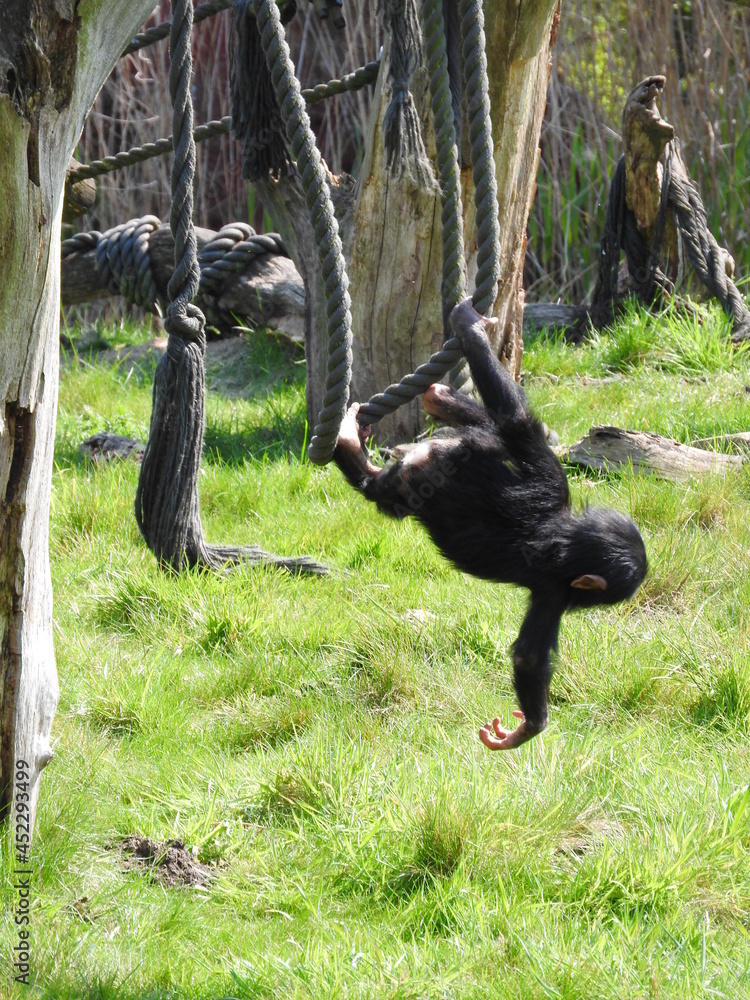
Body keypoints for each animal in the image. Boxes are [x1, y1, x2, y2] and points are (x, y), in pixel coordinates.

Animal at [333, 299, 648, 750]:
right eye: (597, 599)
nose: (588, 606)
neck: (565, 533)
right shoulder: (552, 586)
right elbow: (529, 657)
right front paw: (526, 729)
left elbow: (512, 422)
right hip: (407, 487)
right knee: (379, 484)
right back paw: (349, 442)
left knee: (488, 428)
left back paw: (439, 398)